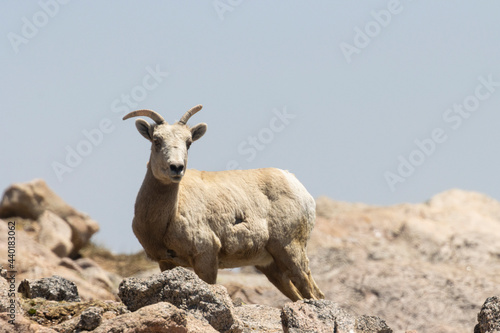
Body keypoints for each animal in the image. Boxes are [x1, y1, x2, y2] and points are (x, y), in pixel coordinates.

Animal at [123, 105, 322, 300]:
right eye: (156, 140)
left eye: (189, 142)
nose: (177, 168)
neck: (167, 217)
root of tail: (296, 184)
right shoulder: (166, 262)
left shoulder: (206, 257)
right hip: (271, 266)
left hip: (290, 250)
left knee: (312, 292)